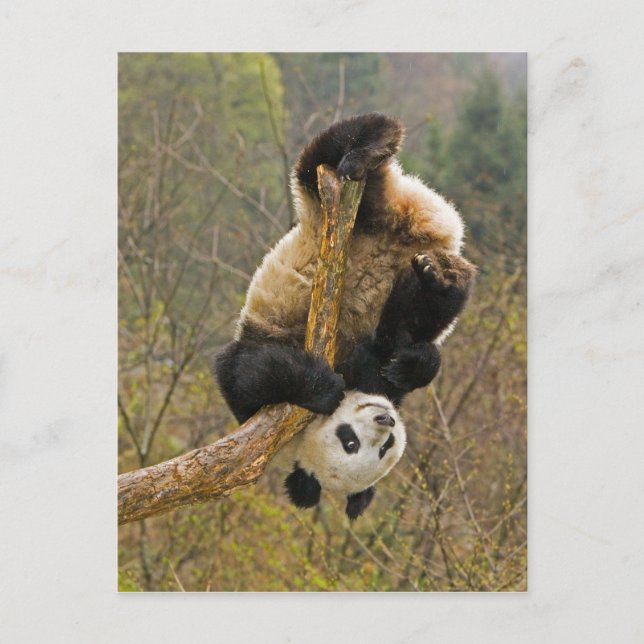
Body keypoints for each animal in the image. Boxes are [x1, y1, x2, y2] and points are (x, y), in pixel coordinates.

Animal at [215, 112, 477, 424]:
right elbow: (254, 374)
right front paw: (325, 386)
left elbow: (250, 374)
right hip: (377, 221)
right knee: (415, 309)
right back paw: (437, 278)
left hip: (334, 205)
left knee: (328, 149)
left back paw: (362, 154)